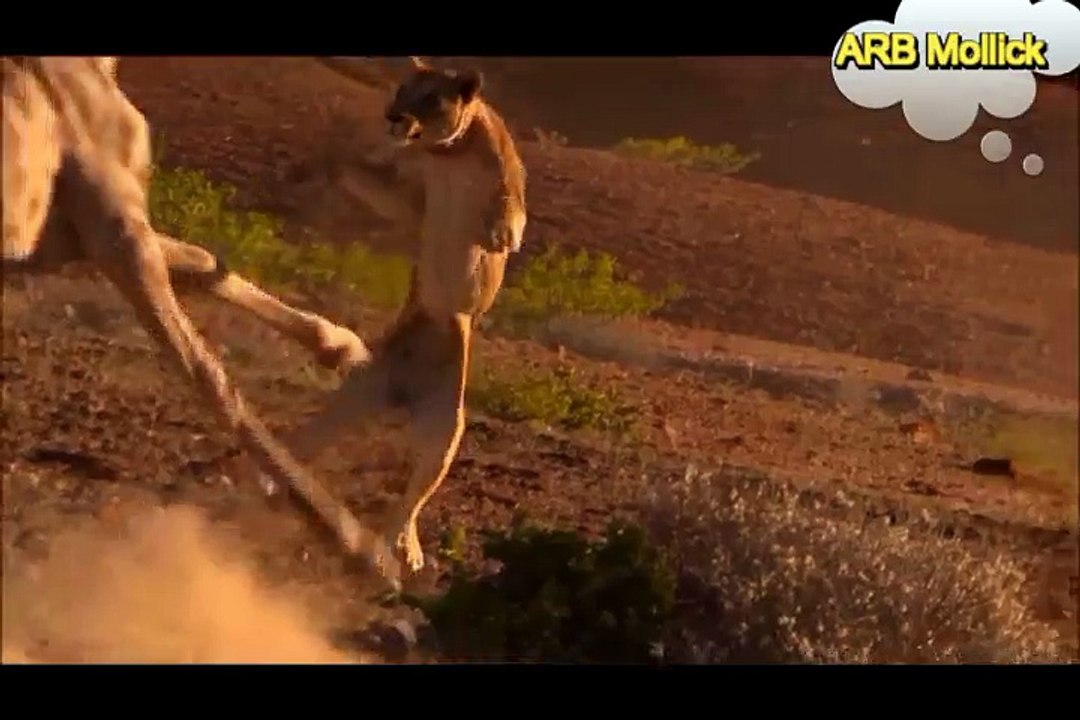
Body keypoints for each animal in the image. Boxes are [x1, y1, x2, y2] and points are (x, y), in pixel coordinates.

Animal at [2, 56, 397, 580]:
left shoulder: (56, 238)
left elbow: (202, 262)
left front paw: (344, 347)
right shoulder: (112, 227)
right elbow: (211, 376)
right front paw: (361, 543)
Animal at [246, 56, 527, 576]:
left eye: (430, 98)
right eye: (402, 89)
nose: (393, 115)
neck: (446, 154)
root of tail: (403, 395)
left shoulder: (505, 180)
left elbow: (509, 212)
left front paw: (500, 233)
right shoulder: (411, 196)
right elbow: (372, 183)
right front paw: (331, 159)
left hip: (444, 426)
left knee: (411, 501)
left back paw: (404, 546)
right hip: (354, 399)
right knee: (300, 444)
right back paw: (269, 480)